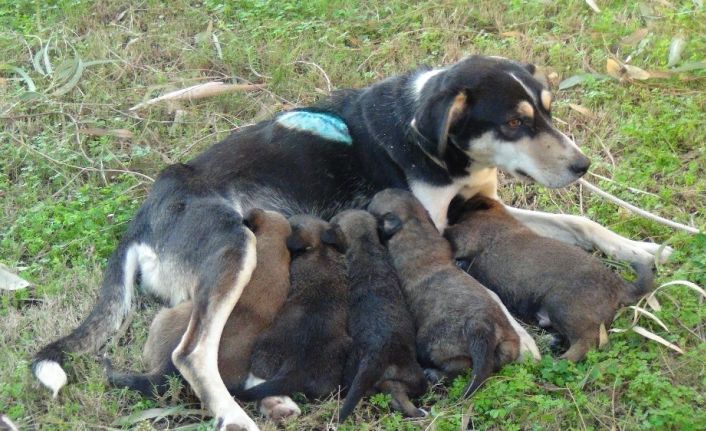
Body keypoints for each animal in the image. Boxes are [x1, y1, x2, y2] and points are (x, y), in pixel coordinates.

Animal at [366, 190, 520, 398]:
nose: (379, 192)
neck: (414, 223)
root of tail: (482, 327)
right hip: (507, 346)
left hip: (432, 344)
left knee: (459, 367)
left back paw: (434, 374)